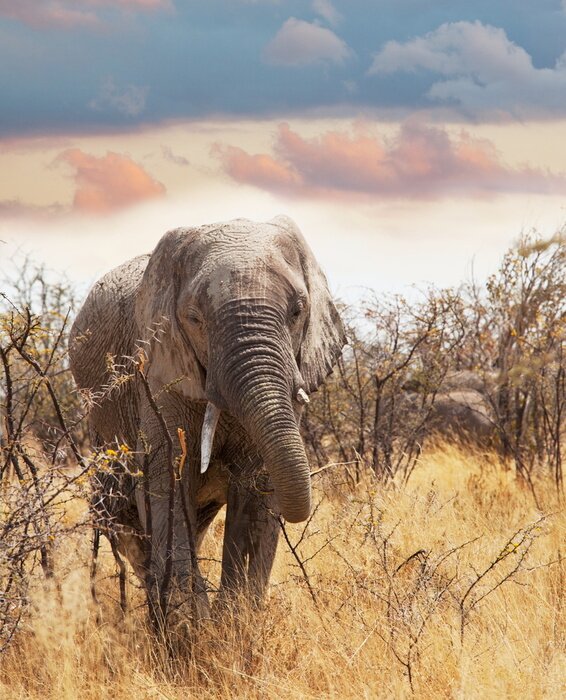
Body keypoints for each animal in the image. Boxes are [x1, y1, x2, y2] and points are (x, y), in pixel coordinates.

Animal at [69, 216, 345, 619]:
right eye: (194, 319)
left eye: (297, 311)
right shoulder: (158, 372)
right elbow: (167, 477)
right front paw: (192, 625)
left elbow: (258, 483)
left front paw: (233, 621)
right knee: (127, 521)